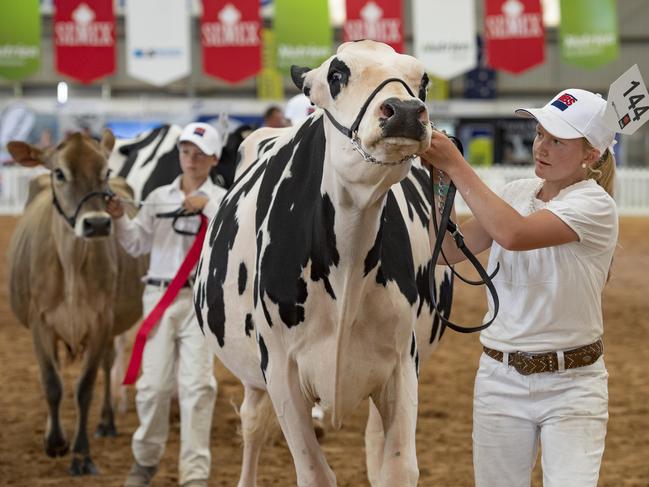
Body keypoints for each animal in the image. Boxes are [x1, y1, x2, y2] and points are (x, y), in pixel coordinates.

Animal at [195, 40, 454, 486]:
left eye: (422, 80)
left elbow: (398, 468)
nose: (405, 110)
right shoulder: (280, 370)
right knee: (253, 424)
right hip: (254, 377)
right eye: (336, 74)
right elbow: (314, 472)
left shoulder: (403, 362)